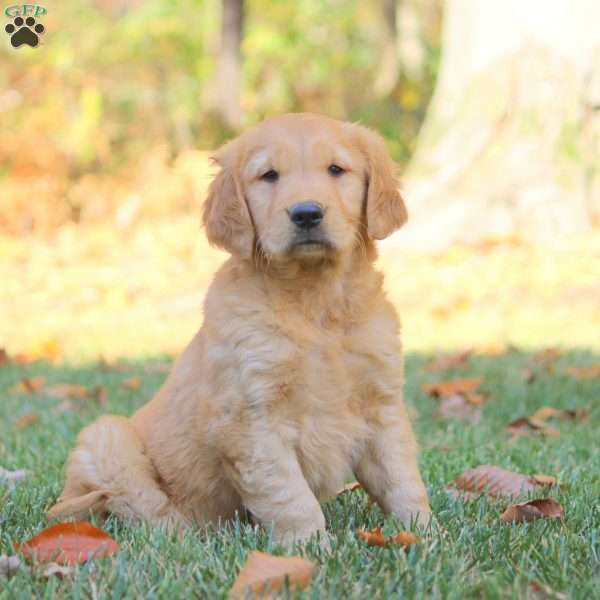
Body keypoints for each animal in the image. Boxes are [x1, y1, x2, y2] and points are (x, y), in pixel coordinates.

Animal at [48, 111, 432, 544]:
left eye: (336, 169)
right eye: (268, 175)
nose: (306, 213)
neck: (314, 303)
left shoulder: (381, 405)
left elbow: (401, 479)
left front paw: (425, 533)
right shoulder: (250, 417)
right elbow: (289, 494)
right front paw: (310, 545)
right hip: (108, 440)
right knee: (142, 509)